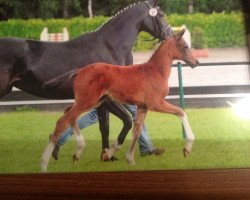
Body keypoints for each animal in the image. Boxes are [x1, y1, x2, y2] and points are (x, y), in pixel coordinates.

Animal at [41, 28, 199, 171]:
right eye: (185, 46)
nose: (196, 62)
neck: (155, 71)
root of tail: (79, 70)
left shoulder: (143, 107)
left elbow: (137, 130)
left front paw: (127, 159)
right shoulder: (155, 103)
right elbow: (180, 111)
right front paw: (187, 149)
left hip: (92, 101)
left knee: (68, 113)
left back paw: (77, 152)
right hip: (87, 101)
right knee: (62, 121)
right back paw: (44, 164)